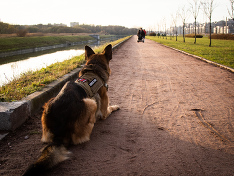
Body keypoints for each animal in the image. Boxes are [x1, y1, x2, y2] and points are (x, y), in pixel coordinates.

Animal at [22, 44, 119, 176]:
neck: (94, 68)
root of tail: (58, 135)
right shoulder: (103, 105)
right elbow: (108, 109)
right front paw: (115, 106)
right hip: (90, 103)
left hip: (48, 103)